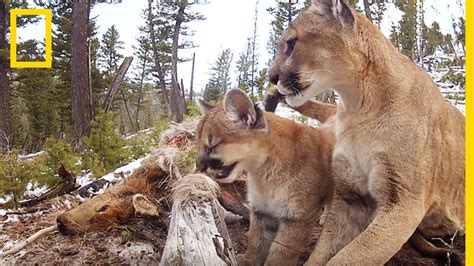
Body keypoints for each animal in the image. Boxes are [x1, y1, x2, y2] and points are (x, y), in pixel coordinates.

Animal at [268, 0, 464, 264]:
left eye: (291, 43)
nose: (271, 77)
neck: (357, 107)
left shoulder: (403, 201)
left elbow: (349, 257)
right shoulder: (351, 197)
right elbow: (322, 253)